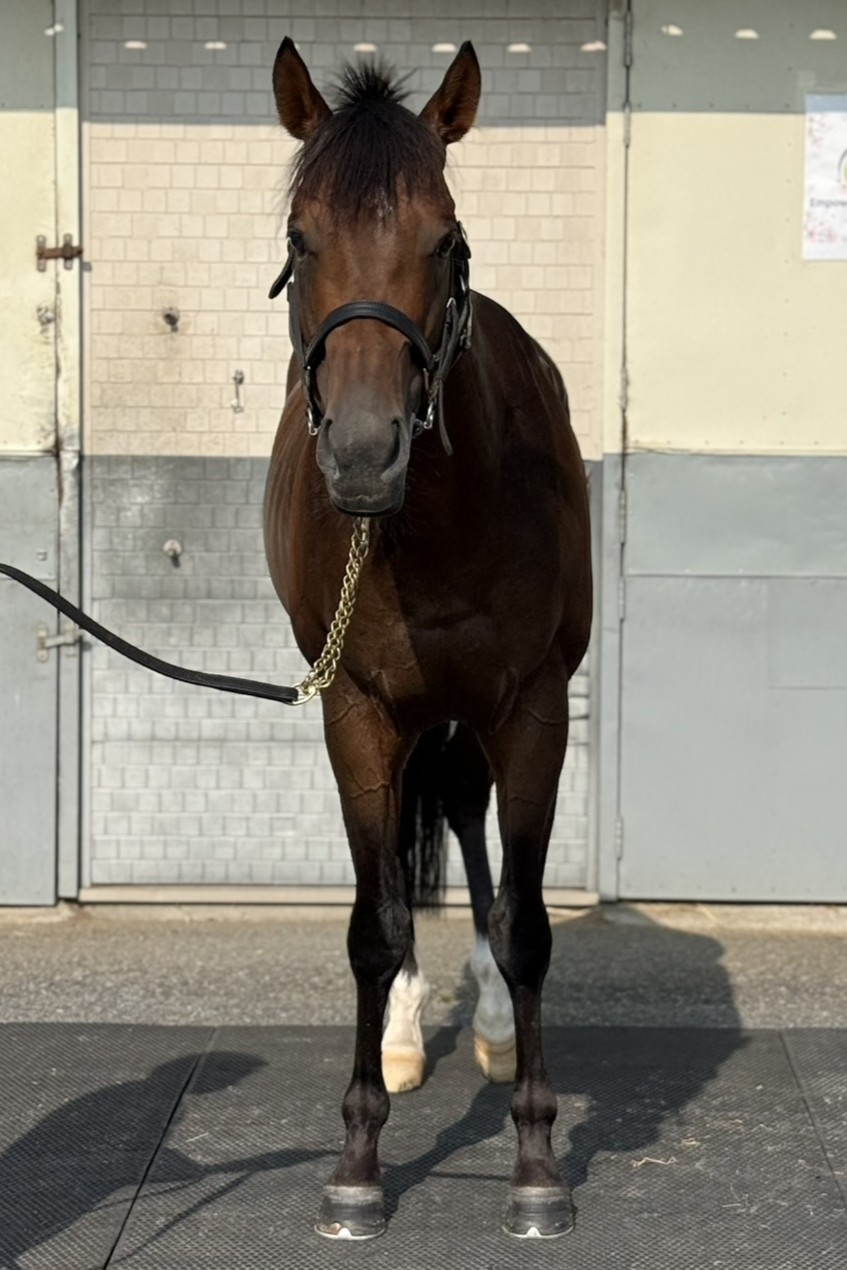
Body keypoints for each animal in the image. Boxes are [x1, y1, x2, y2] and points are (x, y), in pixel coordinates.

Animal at [263, 38, 592, 1240]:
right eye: (298, 237)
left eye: (444, 237)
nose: (365, 455)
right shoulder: (356, 709)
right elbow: (373, 923)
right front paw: (358, 1160)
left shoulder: (532, 707)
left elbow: (528, 921)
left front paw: (536, 1162)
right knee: (408, 855)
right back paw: (406, 1037)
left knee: (461, 819)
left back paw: (491, 1027)